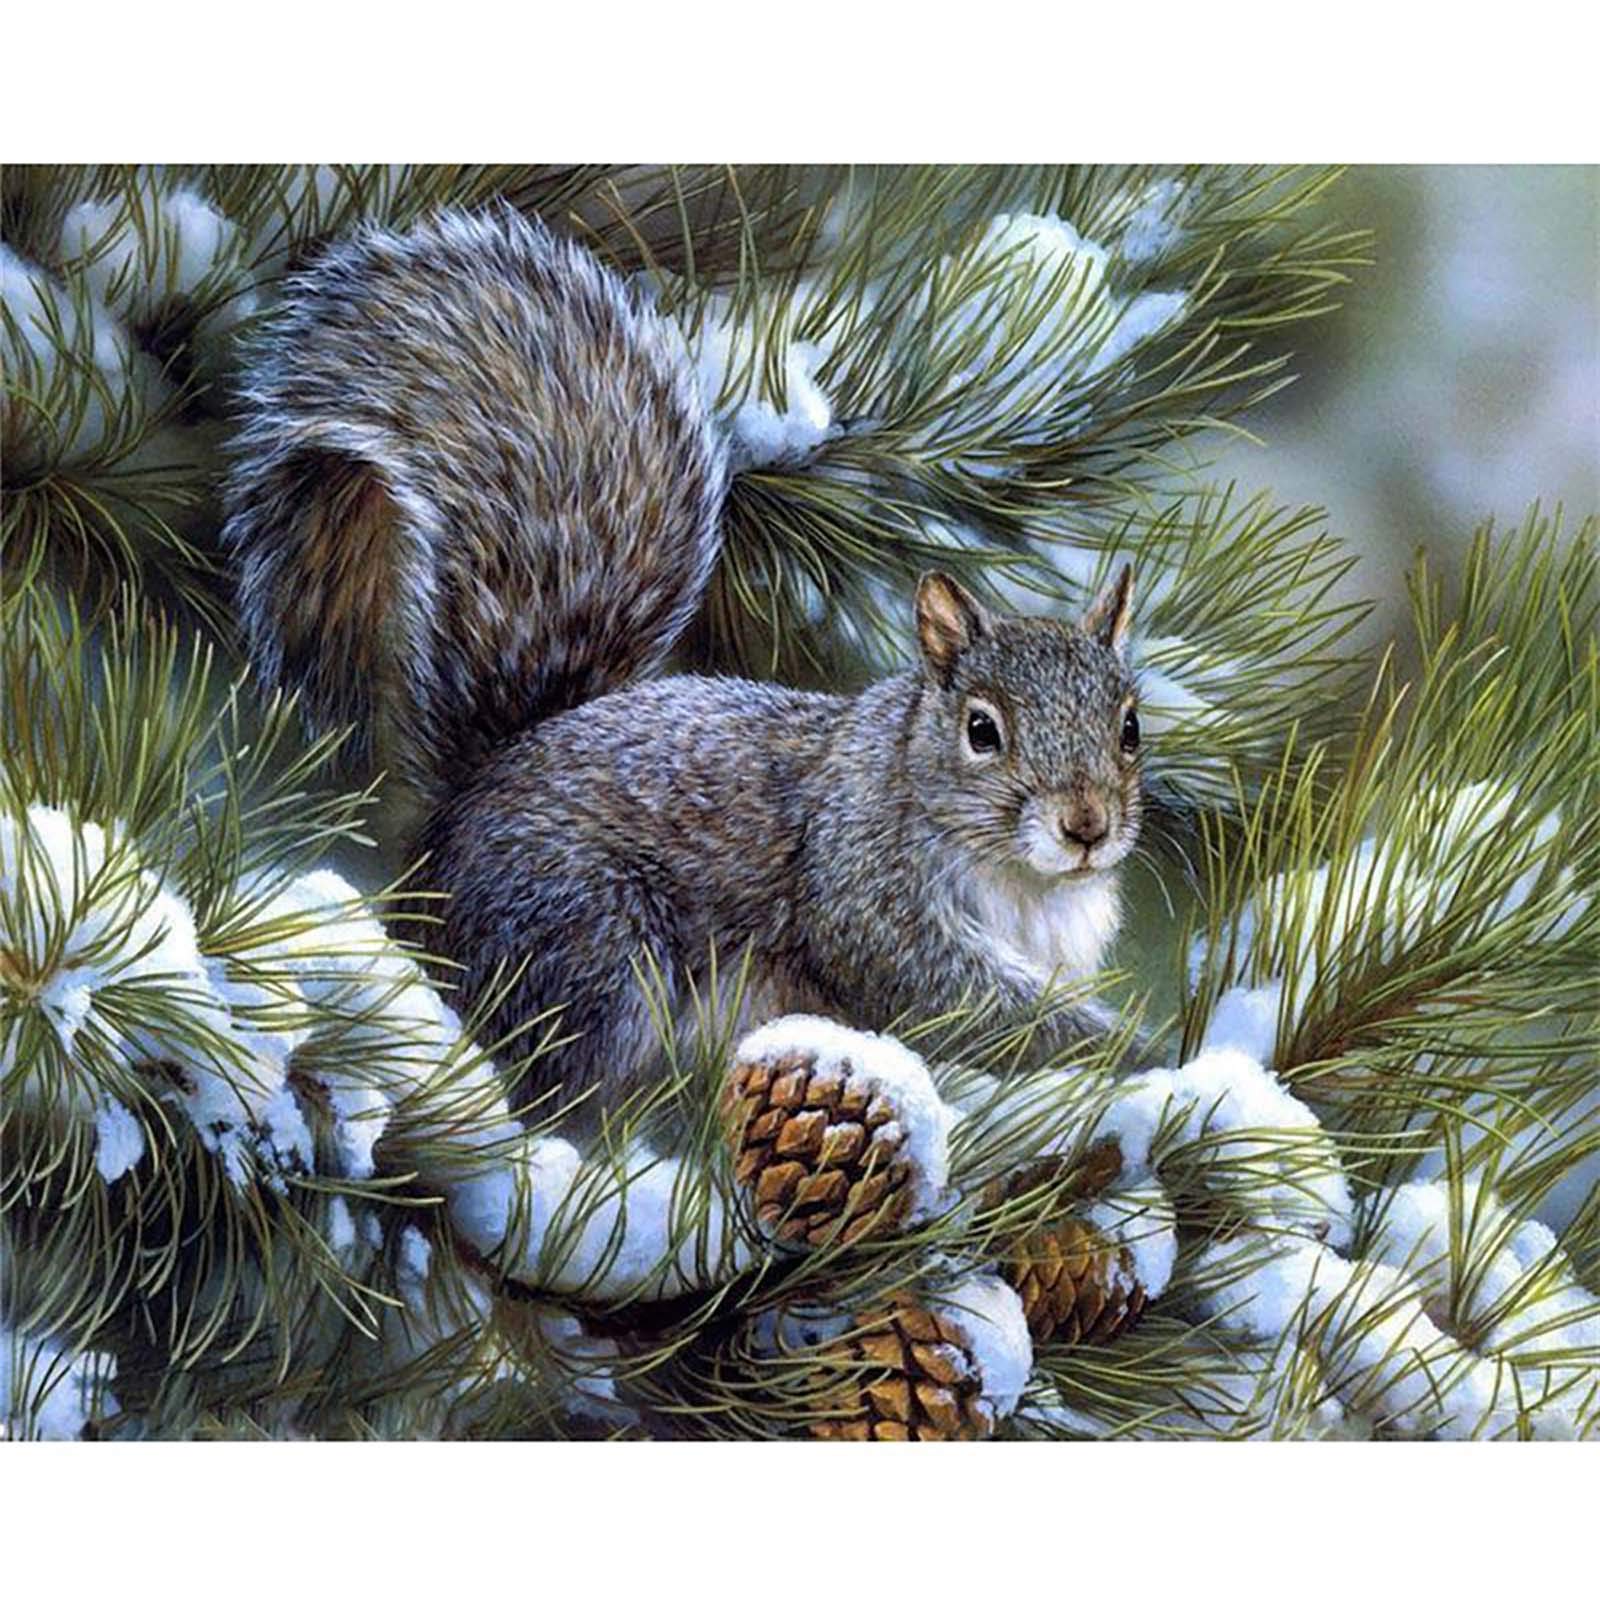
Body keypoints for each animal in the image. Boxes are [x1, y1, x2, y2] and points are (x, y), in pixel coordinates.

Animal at [222, 207, 1144, 1108]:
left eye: (1131, 727)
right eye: (982, 730)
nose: (1087, 827)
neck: (1025, 882)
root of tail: (452, 827)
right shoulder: (865, 892)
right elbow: (951, 995)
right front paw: (1120, 1047)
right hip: (587, 941)